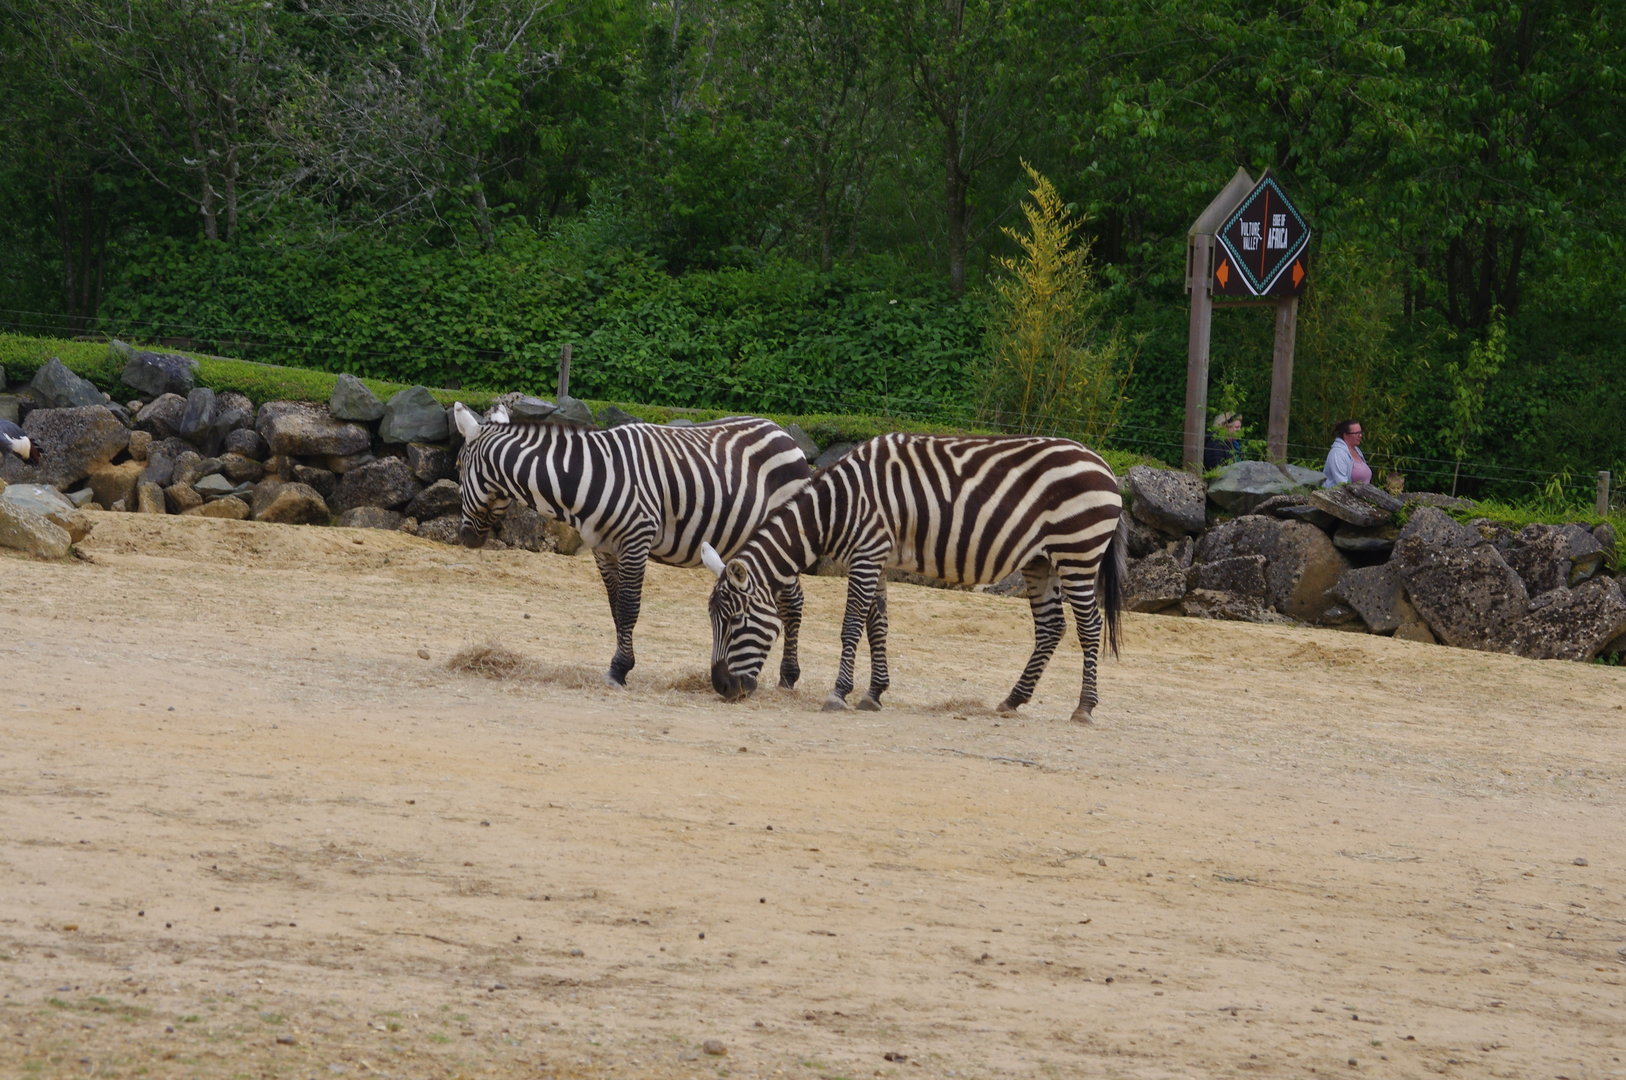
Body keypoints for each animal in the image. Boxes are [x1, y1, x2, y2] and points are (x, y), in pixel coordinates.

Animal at [451, 400, 813, 688]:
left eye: (458, 467)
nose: (465, 538)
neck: (584, 477)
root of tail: (780, 430)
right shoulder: (602, 548)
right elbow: (615, 609)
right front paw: (620, 663)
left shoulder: (636, 540)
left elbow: (628, 607)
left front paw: (619, 670)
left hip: (789, 534)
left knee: (792, 602)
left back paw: (788, 676)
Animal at [701, 432, 1126, 723]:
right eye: (714, 622)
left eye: (735, 621)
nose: (721, 687)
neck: (836, 508)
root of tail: (1103, 464)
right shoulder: (877, 559)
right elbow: (877, 626)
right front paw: (874, 693)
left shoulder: (867, 554)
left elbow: (851, 625)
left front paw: (838, 693)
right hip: (1040, 560)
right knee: (1052, 627)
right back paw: (1013, 699)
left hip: (1078, 553)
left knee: (1089, 626)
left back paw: (1084, 707)